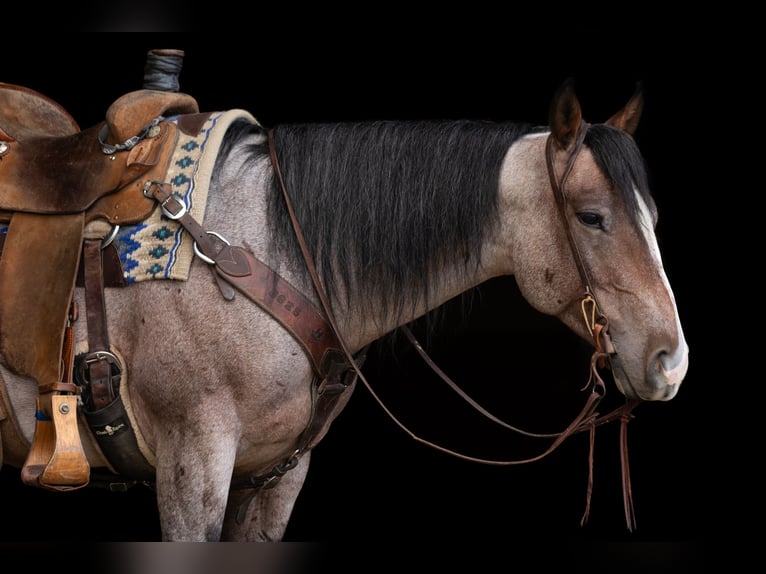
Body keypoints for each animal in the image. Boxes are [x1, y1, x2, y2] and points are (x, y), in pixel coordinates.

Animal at [0, 77, 689, 541]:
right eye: (592, 217)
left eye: (653, 216)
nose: (672, 361)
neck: (265, 247)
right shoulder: (192, 466)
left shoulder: (275, 476)